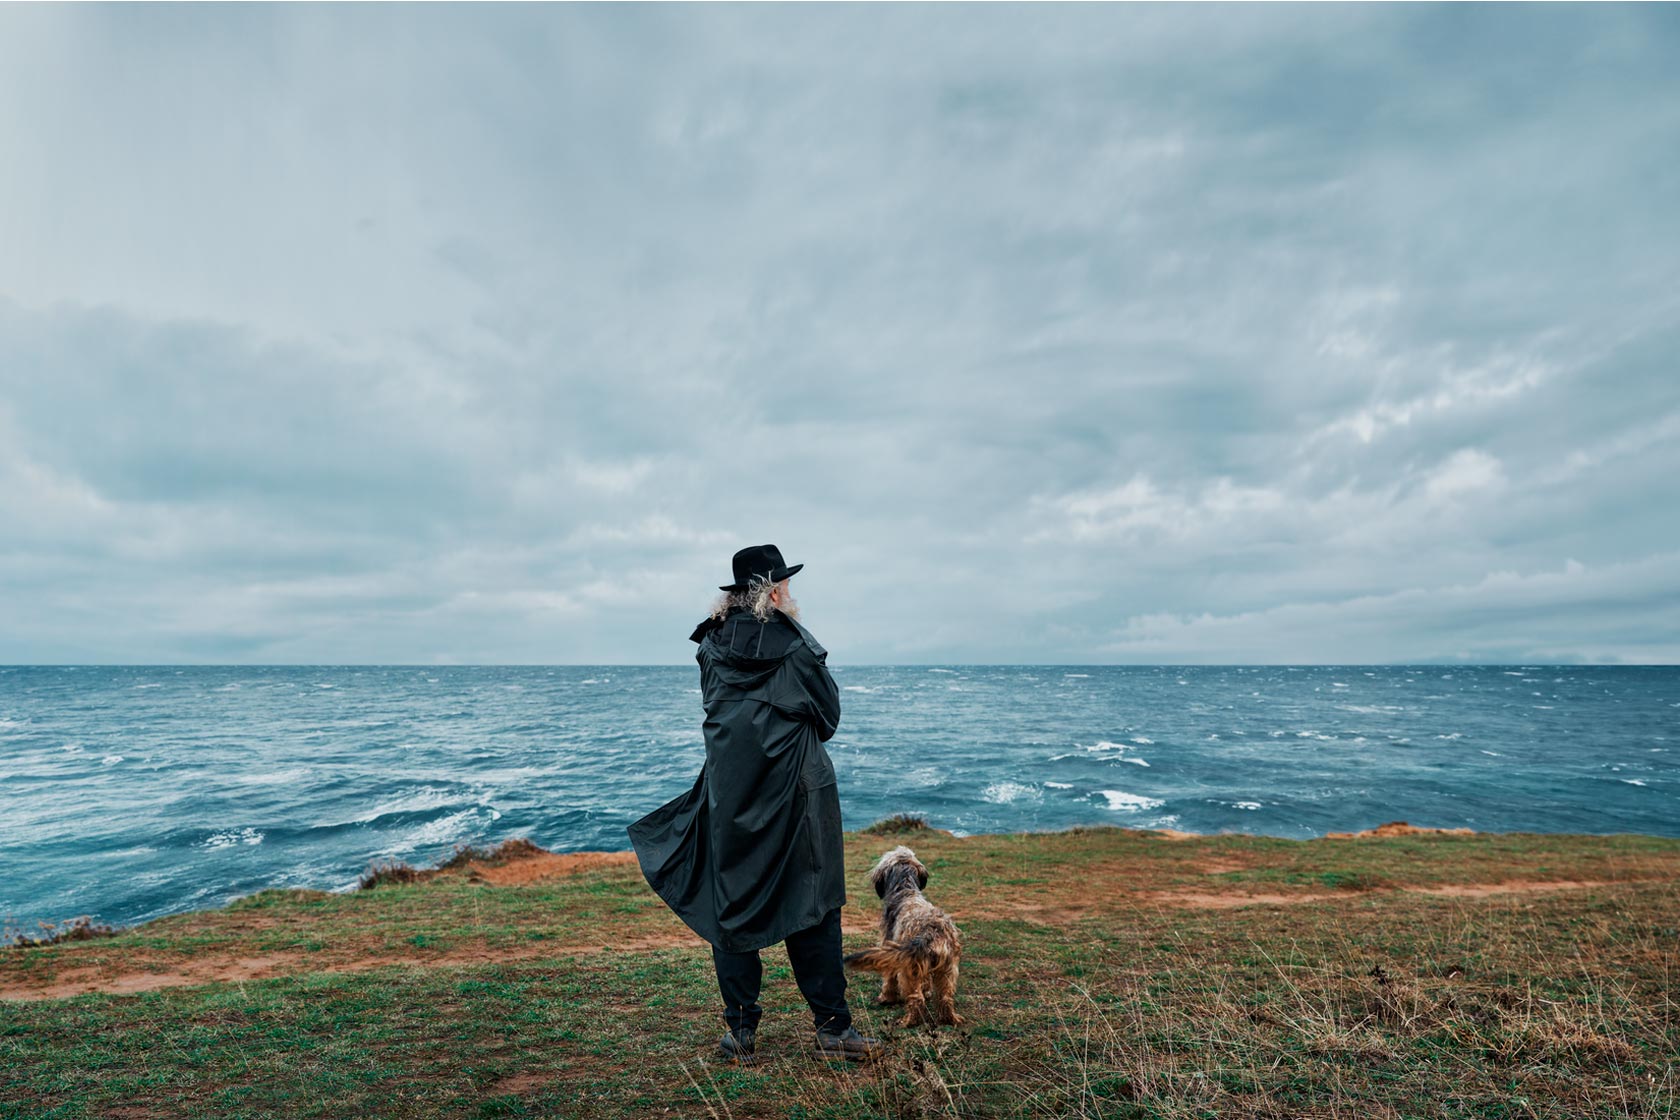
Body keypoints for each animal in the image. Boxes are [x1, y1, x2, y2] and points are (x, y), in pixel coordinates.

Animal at [836, 849, 960, 1027]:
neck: (905, 889)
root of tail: (931, 932)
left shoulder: (890, 949)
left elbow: (889, 977)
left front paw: (886, 998)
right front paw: (927, 991)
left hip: (909, 968)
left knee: (916, 999)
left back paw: (909, 1021)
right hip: (948, 969)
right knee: (945, 997)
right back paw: (948, 1018)